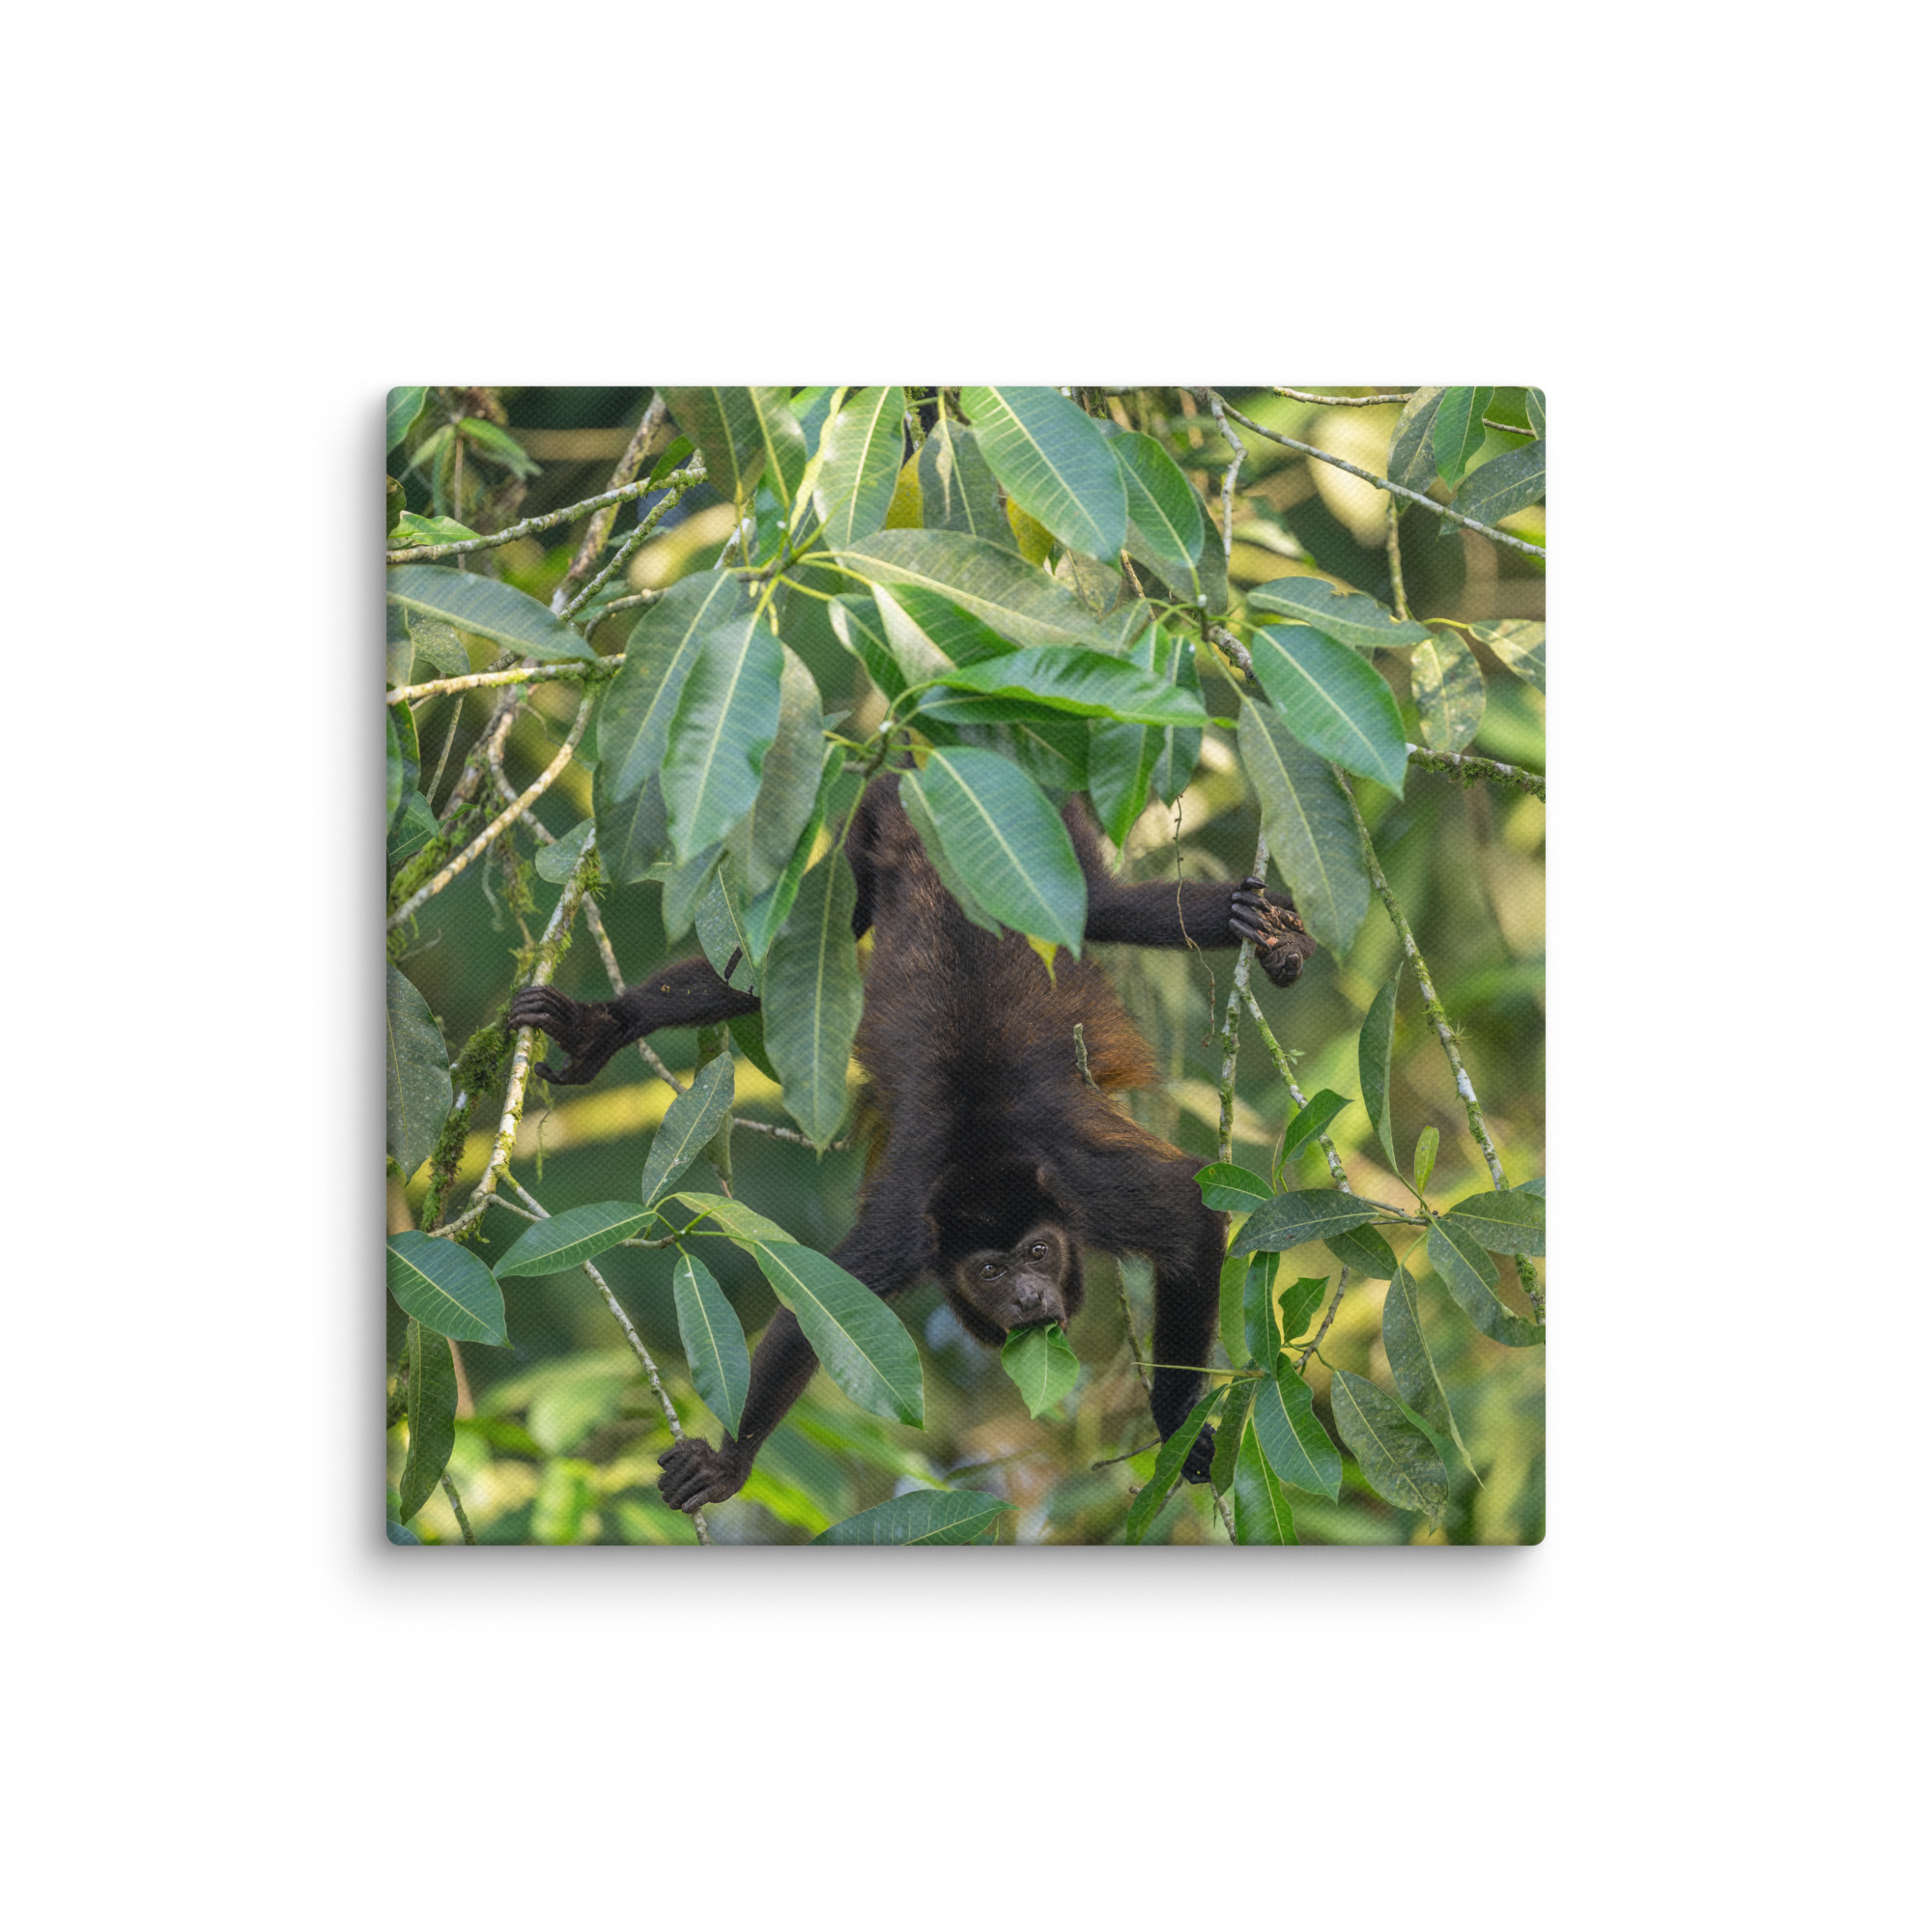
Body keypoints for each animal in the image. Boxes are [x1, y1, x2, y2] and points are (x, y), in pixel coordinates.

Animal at [508, 777, 1314, 1515]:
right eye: (990, 1270)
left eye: (1039, 1252)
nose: (1027, 1296)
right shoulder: (908, 1230)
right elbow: (817, 1308)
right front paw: (729, 1464)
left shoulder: (1088, 1190)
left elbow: (1189, 1214)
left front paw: (1175, 1422)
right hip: (868, 838)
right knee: (804, 945)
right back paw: (605, 1024)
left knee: (1108, 907)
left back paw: (1271, 937)